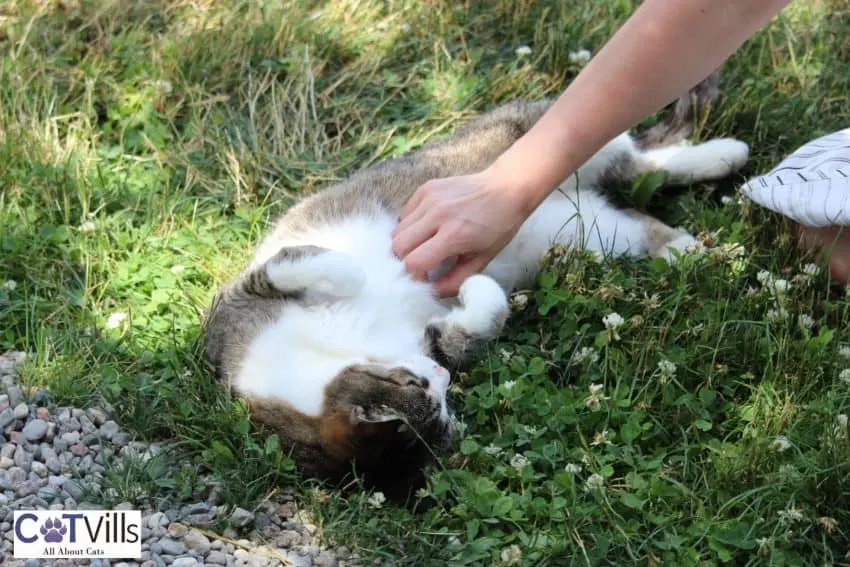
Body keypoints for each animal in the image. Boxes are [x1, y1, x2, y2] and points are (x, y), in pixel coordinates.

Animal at [205, 73, 748, 504]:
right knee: (643, 195)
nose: (441, 380)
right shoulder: (432, 341)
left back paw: (724, 156)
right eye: (435, 401)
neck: (333, 349)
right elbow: (476, 324)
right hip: (597, 233)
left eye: (413, 384)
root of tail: (574, 194)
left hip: (535, 134)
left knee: (634, 153)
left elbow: (293, 264)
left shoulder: (238, 300)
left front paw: (355, 272)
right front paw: (476, 291)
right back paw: (700, 245)